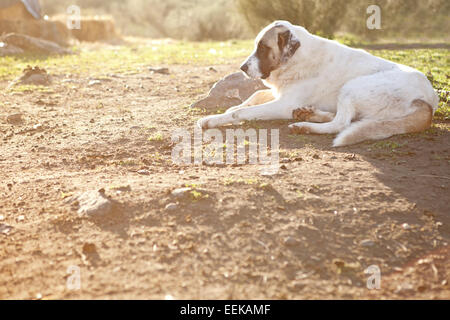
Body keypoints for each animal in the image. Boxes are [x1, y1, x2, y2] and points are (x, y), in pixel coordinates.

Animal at [195, 19, 438, 146]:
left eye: (263, 48)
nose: (242, 68)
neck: (298, 58)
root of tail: (427, 101)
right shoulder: (281, 95)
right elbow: (253, 96)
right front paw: (228, 109)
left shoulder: (283, 105)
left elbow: (241, 113)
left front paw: (216, 119)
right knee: (344, 119)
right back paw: (308, 114)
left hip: (352, 87)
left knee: (340, 124)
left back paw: (305, 125)